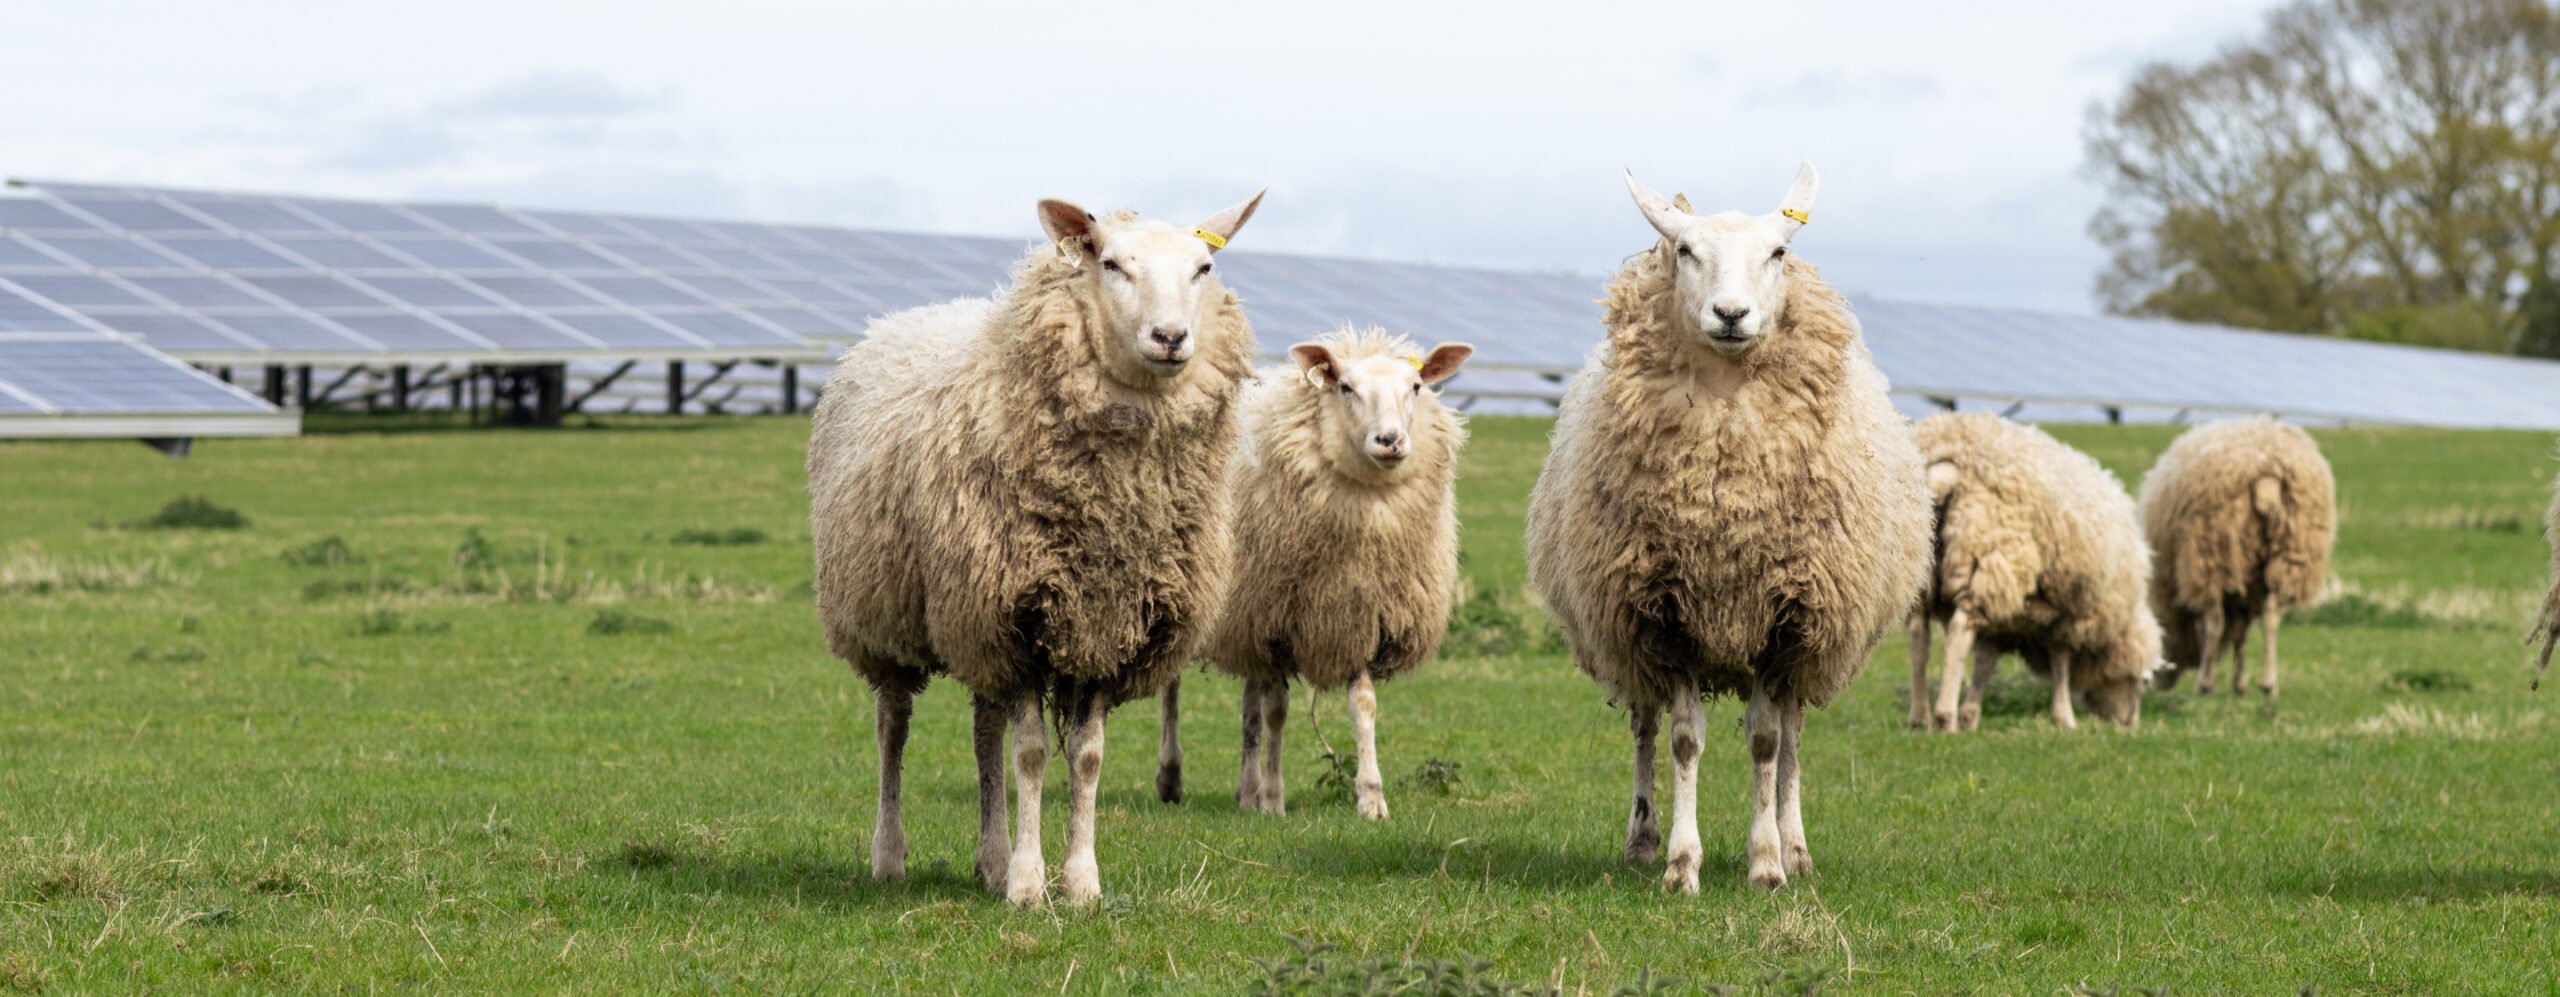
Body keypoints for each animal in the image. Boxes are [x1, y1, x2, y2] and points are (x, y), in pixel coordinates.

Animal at [808, 191, 1264, 907]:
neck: (1113, 510)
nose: (1170, 338)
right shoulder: (1016, 617)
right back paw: (891, 854)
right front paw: (1028, 884)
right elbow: (1030, 754)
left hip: (973, 620)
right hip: (890, 615)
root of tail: (898, 320)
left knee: (983, 732)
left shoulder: (1105, 626)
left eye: (1204, 267)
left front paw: (1079, 881)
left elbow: (1085, 756)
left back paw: (990, 857)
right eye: (1110, 262)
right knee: (893, 727)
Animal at [1152, 327, 1475, 820]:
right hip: (1195, 585)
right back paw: (1172, 777)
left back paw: (1246, 790)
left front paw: (1371, 797)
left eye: (1416, 387)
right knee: (1173, 685)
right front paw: (1274, 797)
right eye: (1345, 387)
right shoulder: (1274, 622)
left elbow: (1363, 706)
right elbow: (1277, 711)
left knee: (1247, 704)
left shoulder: (1359, 617)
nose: (1390, 440)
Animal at [1524, 164, 1933, 893]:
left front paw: (1766, 861)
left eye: (1777, 253)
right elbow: (1683, 739)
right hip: (1627, 633)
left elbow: (1767, 741)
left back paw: (1796, 847)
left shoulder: (1787, 614)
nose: (1732, 314)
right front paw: (1681, 862)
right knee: (1644, 725)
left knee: (1791, 734)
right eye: (1686, 250)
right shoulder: (1663, 613)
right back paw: (1642, 838)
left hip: (1809, 640)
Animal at [1905, 413, 2163, 733]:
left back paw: (1919, 716)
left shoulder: (2008, 620)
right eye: (2142, 682)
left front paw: (1970, 714)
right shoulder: (2069, 613)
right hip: (1991, 556)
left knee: (1918, 634)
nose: (2130, 725)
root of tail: (1947, 463)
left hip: (1928, 572)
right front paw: (2064, 716)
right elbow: (2061, 662)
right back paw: (1944, 717)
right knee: (1958, 634)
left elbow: (1985, 662)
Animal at [2136, 416, 2336, 699]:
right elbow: (2242, 633)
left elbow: (2214, 628)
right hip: (2293, 553)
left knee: (2215, 620)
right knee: (2272, 615)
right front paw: (2239, 684)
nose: (2156, 684)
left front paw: (2213, 680)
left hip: (2210, 552)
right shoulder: (2248, 588)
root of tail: (2267, 474)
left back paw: (2205, 683)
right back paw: (2268, 683)